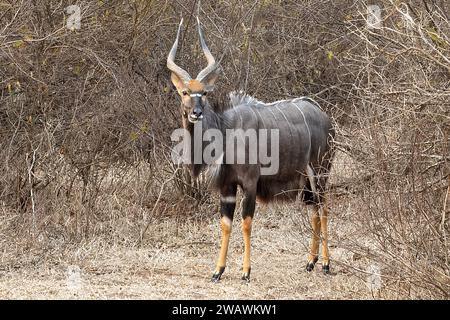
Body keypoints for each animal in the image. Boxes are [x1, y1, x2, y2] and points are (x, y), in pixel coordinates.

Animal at [168, 18, 334, 282]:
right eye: (184, 92)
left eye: (203, 93)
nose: (196, 113)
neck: (226, 130)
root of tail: (325, 117)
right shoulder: (227, 186)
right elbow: (226, 223)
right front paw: (218, 270)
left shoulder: (250, 183)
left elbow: (246, 222)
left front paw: (246, 271)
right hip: (308, 181)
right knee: (314, 210)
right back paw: (310, 261)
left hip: (320, 171)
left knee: (324, 208)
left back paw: (326, 264)